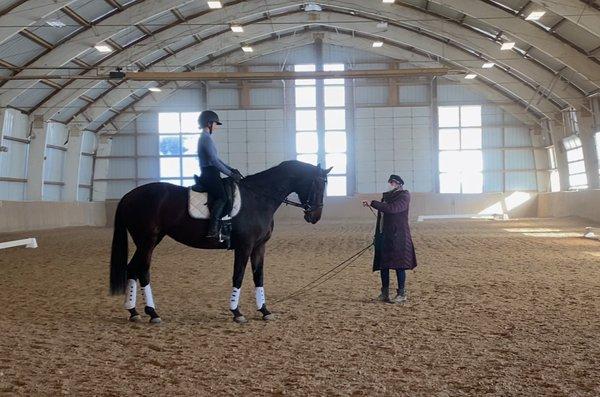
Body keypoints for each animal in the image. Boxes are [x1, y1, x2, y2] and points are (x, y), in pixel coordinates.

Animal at [109, 159, 330, 324]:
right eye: (317, 184)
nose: (315, 216)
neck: (258, 198)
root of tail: (128, 196)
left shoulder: (259, 246)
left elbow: (258, 276)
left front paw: (265, 311)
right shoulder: (244, 246)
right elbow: (238, 276)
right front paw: (237, 312)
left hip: (147, 241)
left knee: (132, 268)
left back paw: (134, 312)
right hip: (148, 240)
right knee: (143, 269)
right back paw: (153, 313)